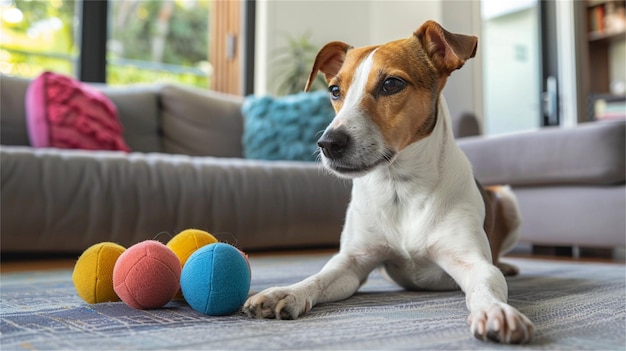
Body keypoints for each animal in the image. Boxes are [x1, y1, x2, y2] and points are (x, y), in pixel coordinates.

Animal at [241, 20, 532, 346]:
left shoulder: (471, 262)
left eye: (391, 84)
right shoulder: (351, 263)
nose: (328, 143)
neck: (400, 186)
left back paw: (507, 265)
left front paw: (497, 311)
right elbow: (320, 277)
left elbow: (487, 285)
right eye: (334, 90)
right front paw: (286, 292)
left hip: (509, 200)